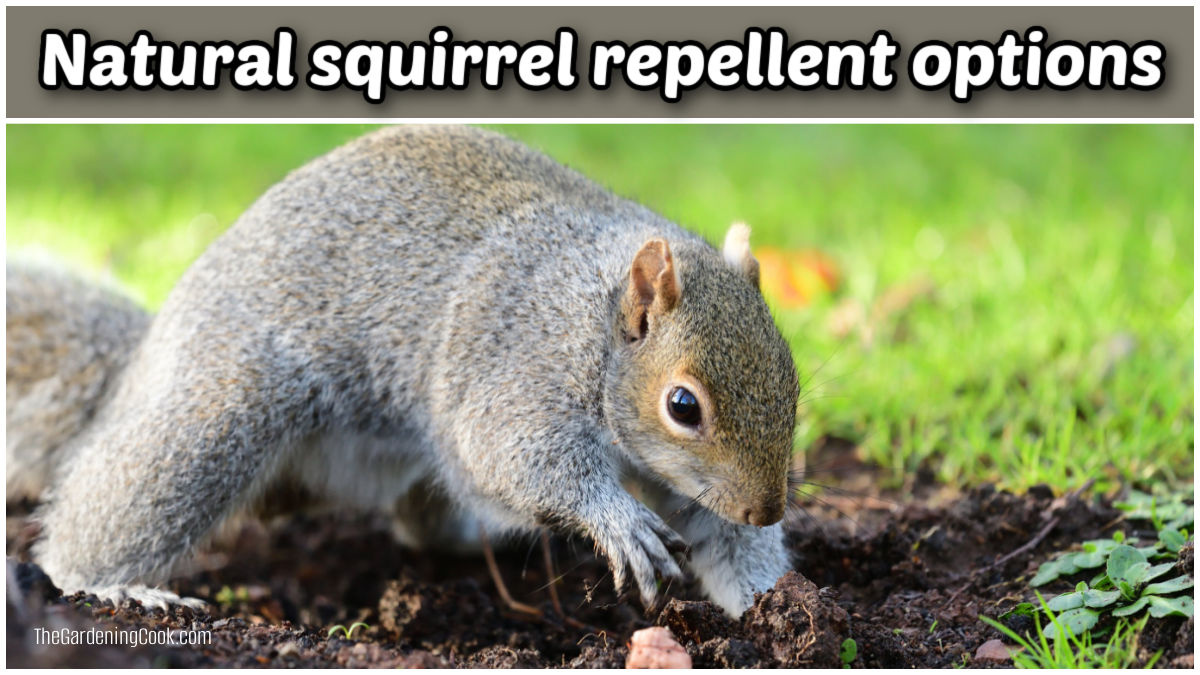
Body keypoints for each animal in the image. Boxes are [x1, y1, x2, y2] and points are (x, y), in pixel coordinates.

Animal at [7, 125, 800, 617]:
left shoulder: (694, 487)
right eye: (683, 405)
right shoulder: (518, 362)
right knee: (118, 504)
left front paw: (771, 605)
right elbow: (516, 453)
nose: (767, 509)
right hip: (223, 407)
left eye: (793, 378)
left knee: (423, 519)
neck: (594, 322)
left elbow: (721, 537)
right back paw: (112, 588)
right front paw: (619, 521)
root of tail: (147, 357)